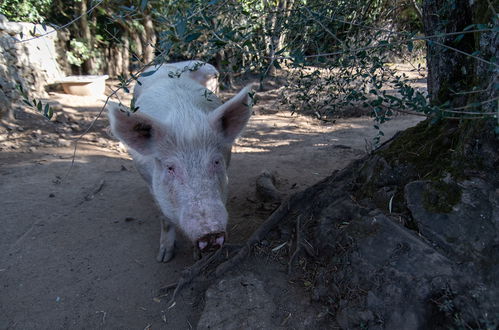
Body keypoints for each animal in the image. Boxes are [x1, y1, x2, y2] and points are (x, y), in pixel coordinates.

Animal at [107, 60, 252, 262]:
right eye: (170, 167)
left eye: (216, 162)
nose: (210, 233)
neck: (185, 121)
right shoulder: (150, 182)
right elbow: (164, 217)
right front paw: (163, 257)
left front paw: (197, 257)